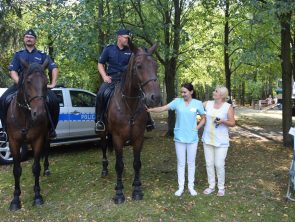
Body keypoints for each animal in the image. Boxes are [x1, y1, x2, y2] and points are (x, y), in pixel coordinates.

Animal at [6, 59, 50, 211]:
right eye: (28, 81)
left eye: (46, 81)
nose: (40, 114)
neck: (25, 115)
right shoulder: (13, 142)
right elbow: (16, 170)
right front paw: (15, 199)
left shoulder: (38, 140)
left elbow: (36, 168)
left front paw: (37, 196)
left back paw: (47, 169)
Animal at [99, 43, 162, 203]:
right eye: (139, 66)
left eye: (155, 65)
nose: (155, 97)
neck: (129, 103)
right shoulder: (117, 137)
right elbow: (118, 165)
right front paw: (119, 193)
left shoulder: (138, 137)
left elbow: (137, 163)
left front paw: (137, 189)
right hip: (103, 134)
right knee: (104, 148)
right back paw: (104, 170)